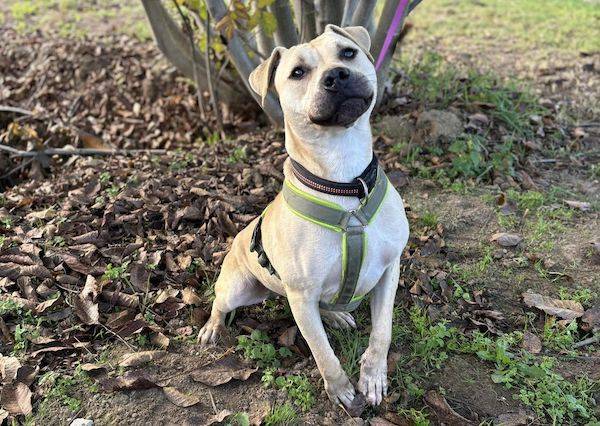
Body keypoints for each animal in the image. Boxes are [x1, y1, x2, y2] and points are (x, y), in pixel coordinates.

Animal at [198, 25, 409, 408]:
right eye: (297, 72)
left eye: (347, 53)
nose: (337, 75)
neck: (345, 183)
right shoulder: (301, 295)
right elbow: (322, 351)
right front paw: (341, 390)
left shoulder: (389, 270)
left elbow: (382, 332)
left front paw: (373, 376)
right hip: (238, 288)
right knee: (220, 304)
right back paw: (212, 328)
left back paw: (336, 314)